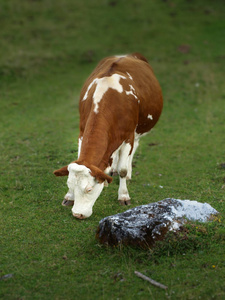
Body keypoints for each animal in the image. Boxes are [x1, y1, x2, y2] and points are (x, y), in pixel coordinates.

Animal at [54, 52, 163, 219]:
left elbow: (123, 169)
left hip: (139, 129)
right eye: (69, 184)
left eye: (89, 189)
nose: (78, 214)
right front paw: (69, 196)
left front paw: (123, 195)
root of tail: (128, 54)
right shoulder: (82, 133)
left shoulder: (128, 136)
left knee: (134, 148)